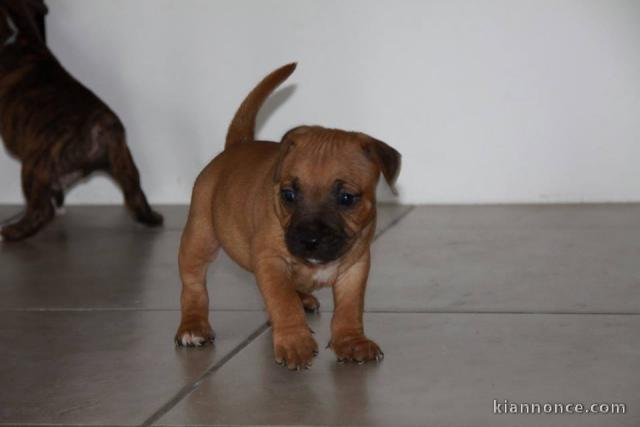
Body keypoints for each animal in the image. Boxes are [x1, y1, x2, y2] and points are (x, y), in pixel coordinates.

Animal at [0, 0, 162, 241]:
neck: (18, 30)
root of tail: (104, 125)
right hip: (125, 164)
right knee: (135, 195)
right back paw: (151, 218)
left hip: (35, 163)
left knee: (41, 210)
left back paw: (11, 231)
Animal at [176, 63, 400, 372]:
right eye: (289, 195)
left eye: (346, 198)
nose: (309, 239)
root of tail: (236, 146)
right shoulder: (271, 261)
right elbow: (283, 302)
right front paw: (295, 342)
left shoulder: (355, 267)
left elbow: (349, 308)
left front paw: (351, 341)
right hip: (199, 238)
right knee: (193, 285)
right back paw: (193, 326)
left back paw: (303, 298)